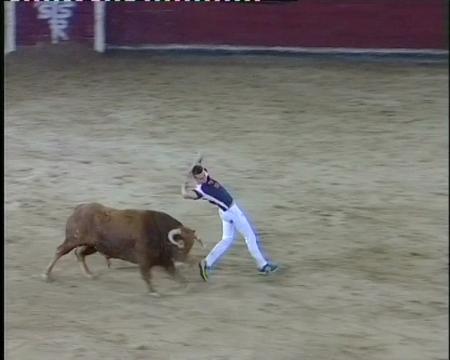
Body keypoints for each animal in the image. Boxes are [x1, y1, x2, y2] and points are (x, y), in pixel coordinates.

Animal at [43, 202, 203, 296]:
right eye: (180, 244)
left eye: (191, 245)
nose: (185, 260)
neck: (159, 232)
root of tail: (79, 209)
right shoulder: (145, 261)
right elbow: (147, 276)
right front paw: (153, 292)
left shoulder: (165, 261)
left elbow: (177, 276)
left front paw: (185, 286)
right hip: (73, 240)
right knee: (59, 251)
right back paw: (46, 275)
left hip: (93, 246)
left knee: (79, 253)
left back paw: (89, 275)